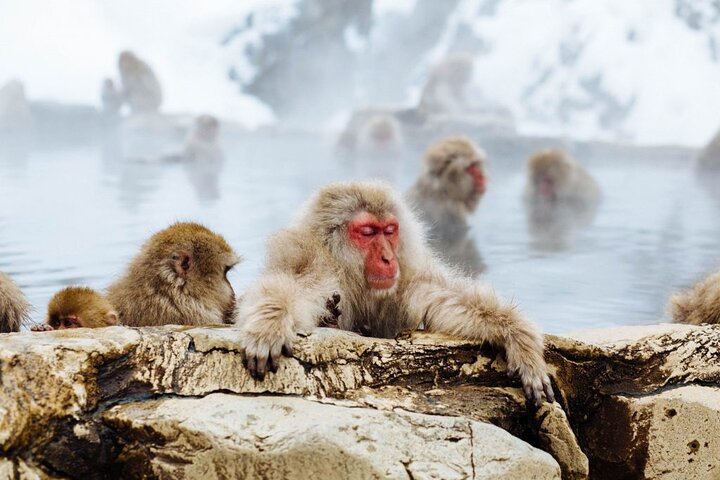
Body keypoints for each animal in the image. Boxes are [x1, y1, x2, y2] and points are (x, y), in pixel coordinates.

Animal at [237, 181, 554, 406]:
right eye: (367, 232)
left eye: (389, 230)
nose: (388, 258)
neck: (351, 274)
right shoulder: (316, 266)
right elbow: (289, 290)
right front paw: (269, 324)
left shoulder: (407, 277)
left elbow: (446, 300)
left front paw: (519, 338)